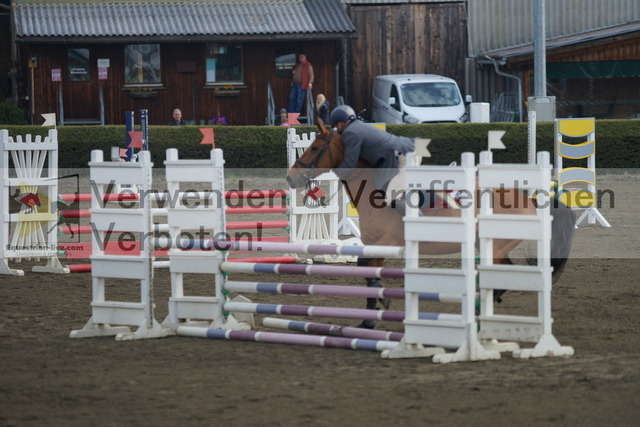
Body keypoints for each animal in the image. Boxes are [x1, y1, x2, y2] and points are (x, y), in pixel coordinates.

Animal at [284, 120, 576, 328]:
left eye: (314, 147)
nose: (290, 178)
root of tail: (531, 200)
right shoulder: (373, 246)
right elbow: (369, 273)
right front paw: (371, 317)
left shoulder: (388, 242)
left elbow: (367, 269)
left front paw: (379, 307)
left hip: (494, 246)